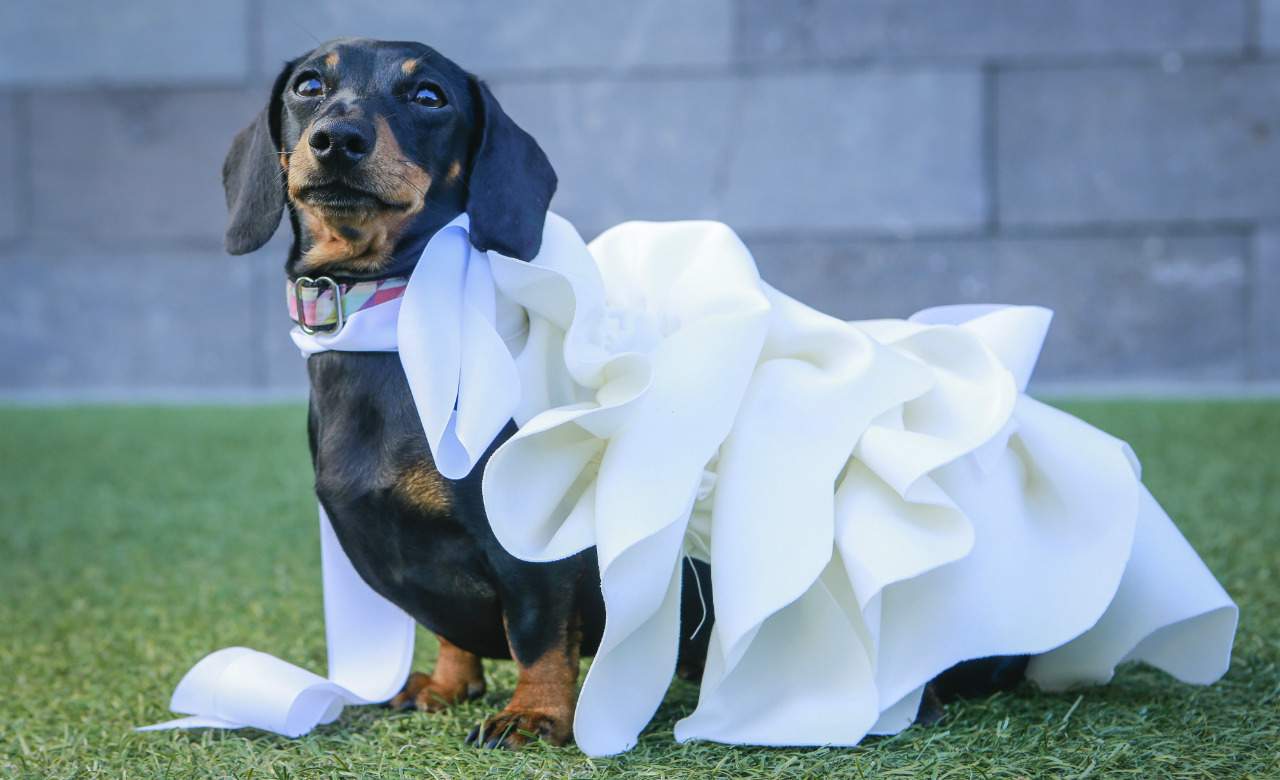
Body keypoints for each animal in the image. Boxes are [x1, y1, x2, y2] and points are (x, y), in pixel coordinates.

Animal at [220, 39, 1018, 753]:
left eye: (429, 96)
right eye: (309, 86)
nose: (337, 140)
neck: (391, 327)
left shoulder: (529, 536)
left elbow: (539, 632)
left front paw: (534, 715)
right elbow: (448, 629)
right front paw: (446, 686)